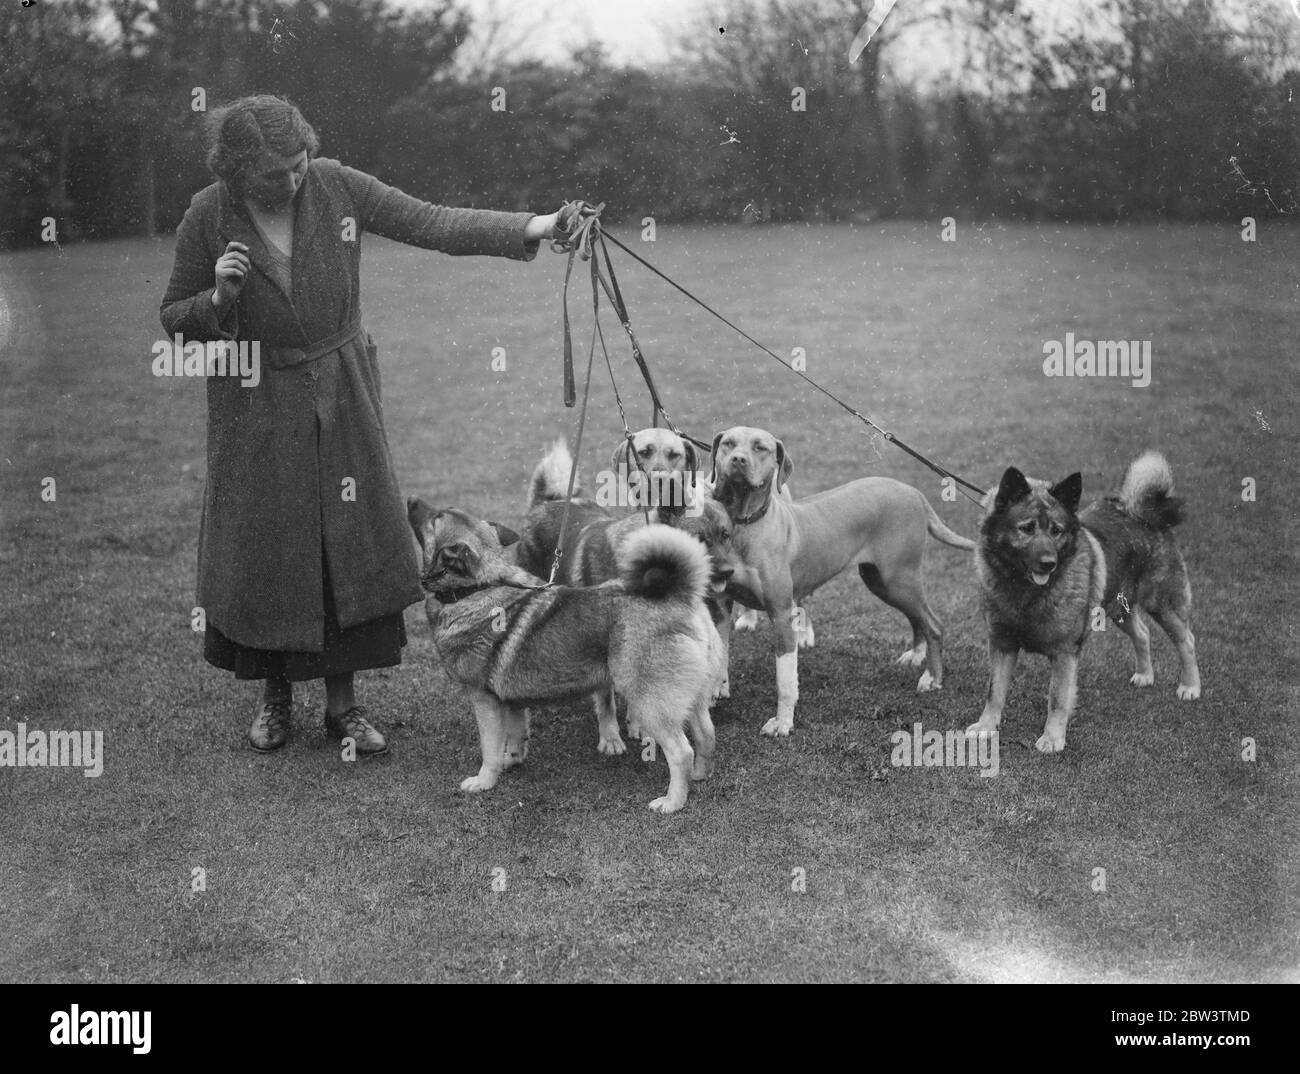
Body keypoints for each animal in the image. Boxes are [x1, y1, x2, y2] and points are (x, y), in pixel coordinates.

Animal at [712, 426, 977, 738]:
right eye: (728, 443)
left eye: (760, 447)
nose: (738, 460)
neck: (744, 523)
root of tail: (913, 492)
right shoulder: (720, 607)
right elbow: (718, 654)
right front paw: (716, 692)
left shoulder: (781, 614)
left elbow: (785, 681)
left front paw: (783, 723)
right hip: (883, 581)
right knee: (917, 617)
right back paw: (915, 654)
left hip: (898, 577)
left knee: (934, 623)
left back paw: (932, 678)